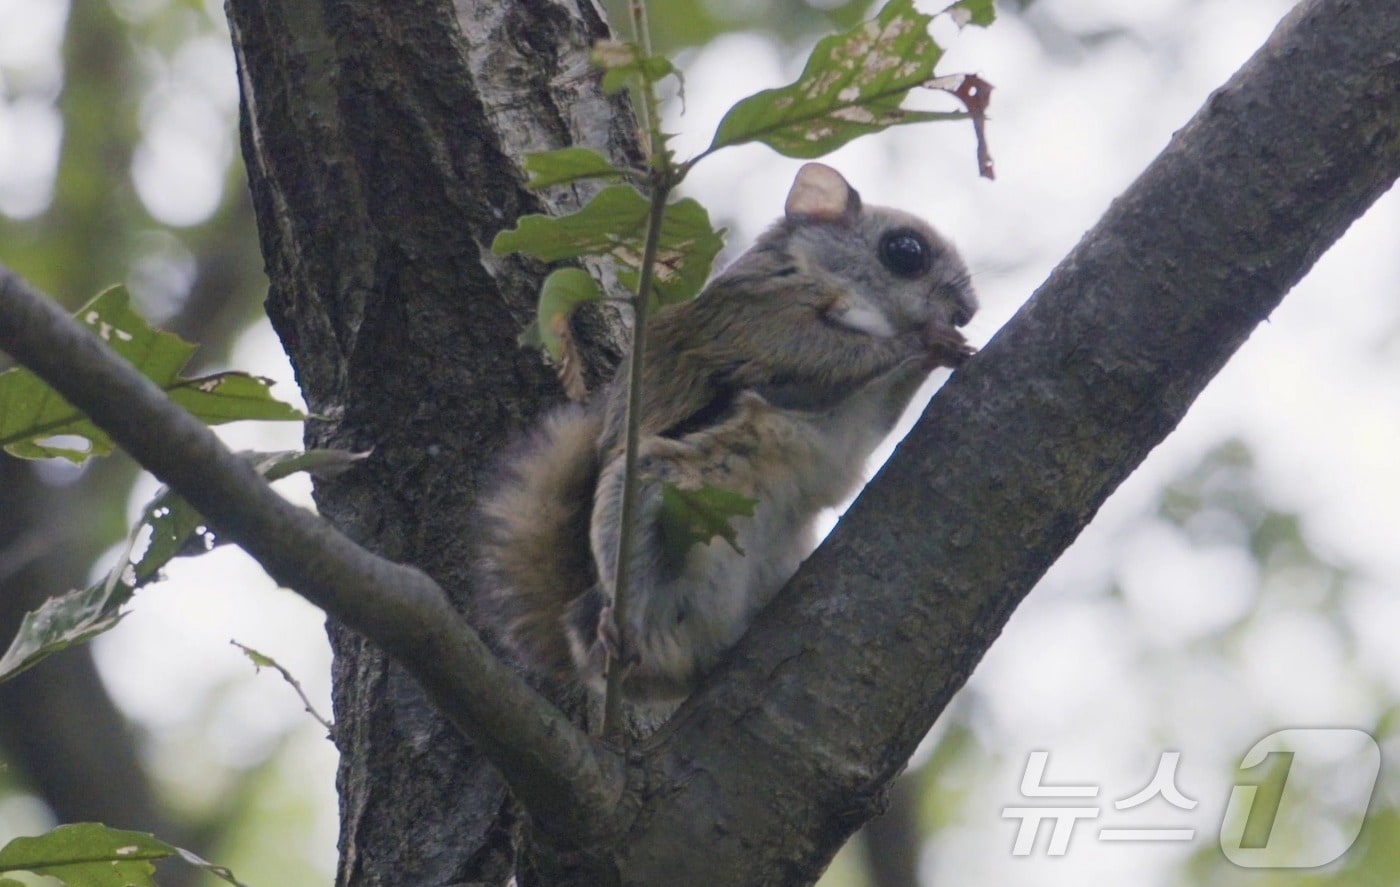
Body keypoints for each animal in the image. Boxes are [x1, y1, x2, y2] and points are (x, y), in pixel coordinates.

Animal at [476, 160, 980, 696]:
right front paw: (927, 340)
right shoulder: (759, 322)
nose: (968, 310)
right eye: (905, 251)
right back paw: (620, 633)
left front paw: (947, 349)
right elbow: (823, 362)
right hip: (645, 489)